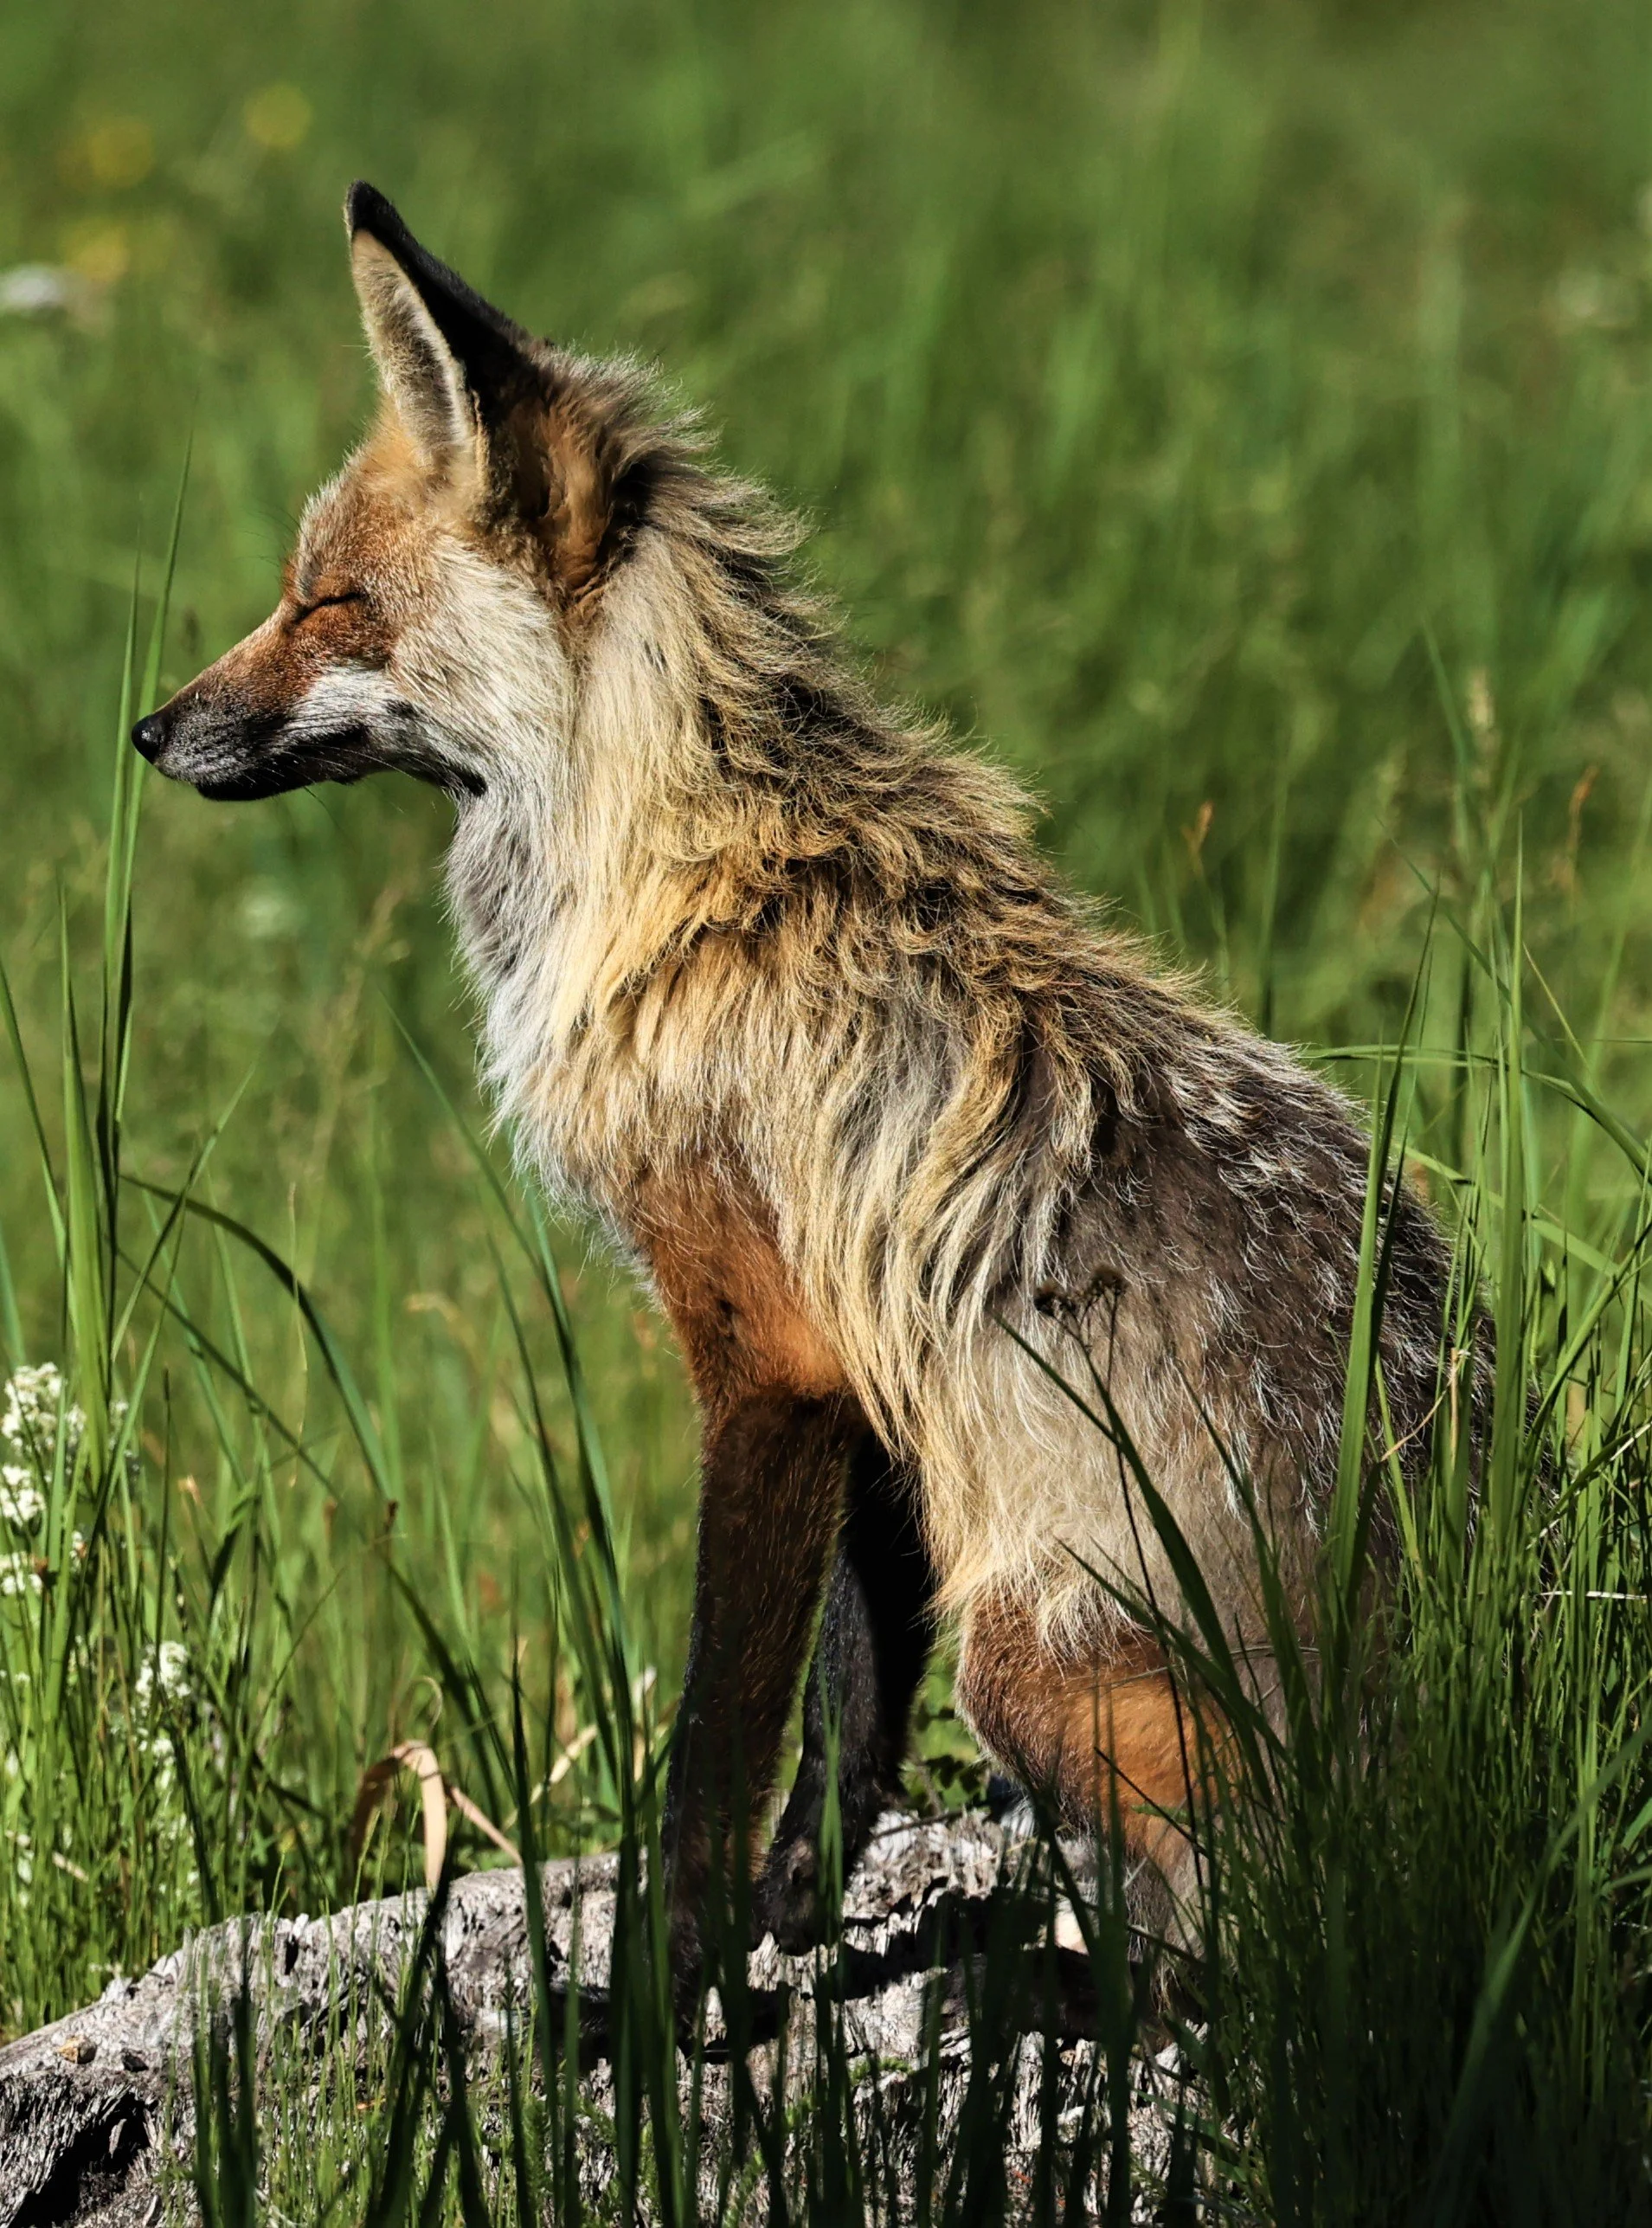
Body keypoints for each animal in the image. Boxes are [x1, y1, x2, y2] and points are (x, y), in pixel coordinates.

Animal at [133, 182, 1464, 1987]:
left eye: (327, 600)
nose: (148, 727)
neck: (666, 874)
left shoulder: (764, 1350)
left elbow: (717, 1736)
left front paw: (657, 1988)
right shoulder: (860, 1375)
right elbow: (841, 1721)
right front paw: (787, 1930)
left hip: (1021, 1655)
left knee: (1215, 1947)